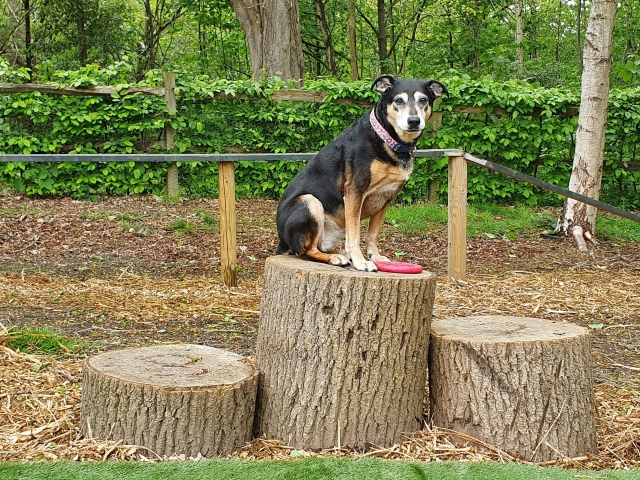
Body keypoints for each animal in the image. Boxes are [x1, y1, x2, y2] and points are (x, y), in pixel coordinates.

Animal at [276, 74, 444, 270]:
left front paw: (374, 256)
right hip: (309, 202)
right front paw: (360, 261)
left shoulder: (385, 197)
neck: (386, 138)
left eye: (423, 100)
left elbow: (372, 233)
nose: (414, 121)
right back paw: (336, 257)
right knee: (306, 251)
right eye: (398, 101)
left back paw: (341, 253)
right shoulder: (354, 191)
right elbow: (354, 233)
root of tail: (282, 242)